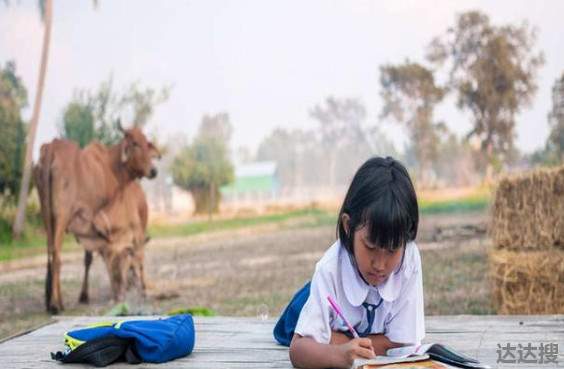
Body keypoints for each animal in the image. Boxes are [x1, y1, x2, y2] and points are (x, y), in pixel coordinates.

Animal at [34, 122, 160, 312]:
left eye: (147, 144)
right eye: (135, 143)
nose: (153, 171)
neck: (111, 166)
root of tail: (52, 148)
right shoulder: (97, 217)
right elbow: (96, 255)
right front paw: (86, 295)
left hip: (46, 213)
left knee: (49, 252)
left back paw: (51, 301)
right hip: (62, 214)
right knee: (56, 253)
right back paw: (56, 303)